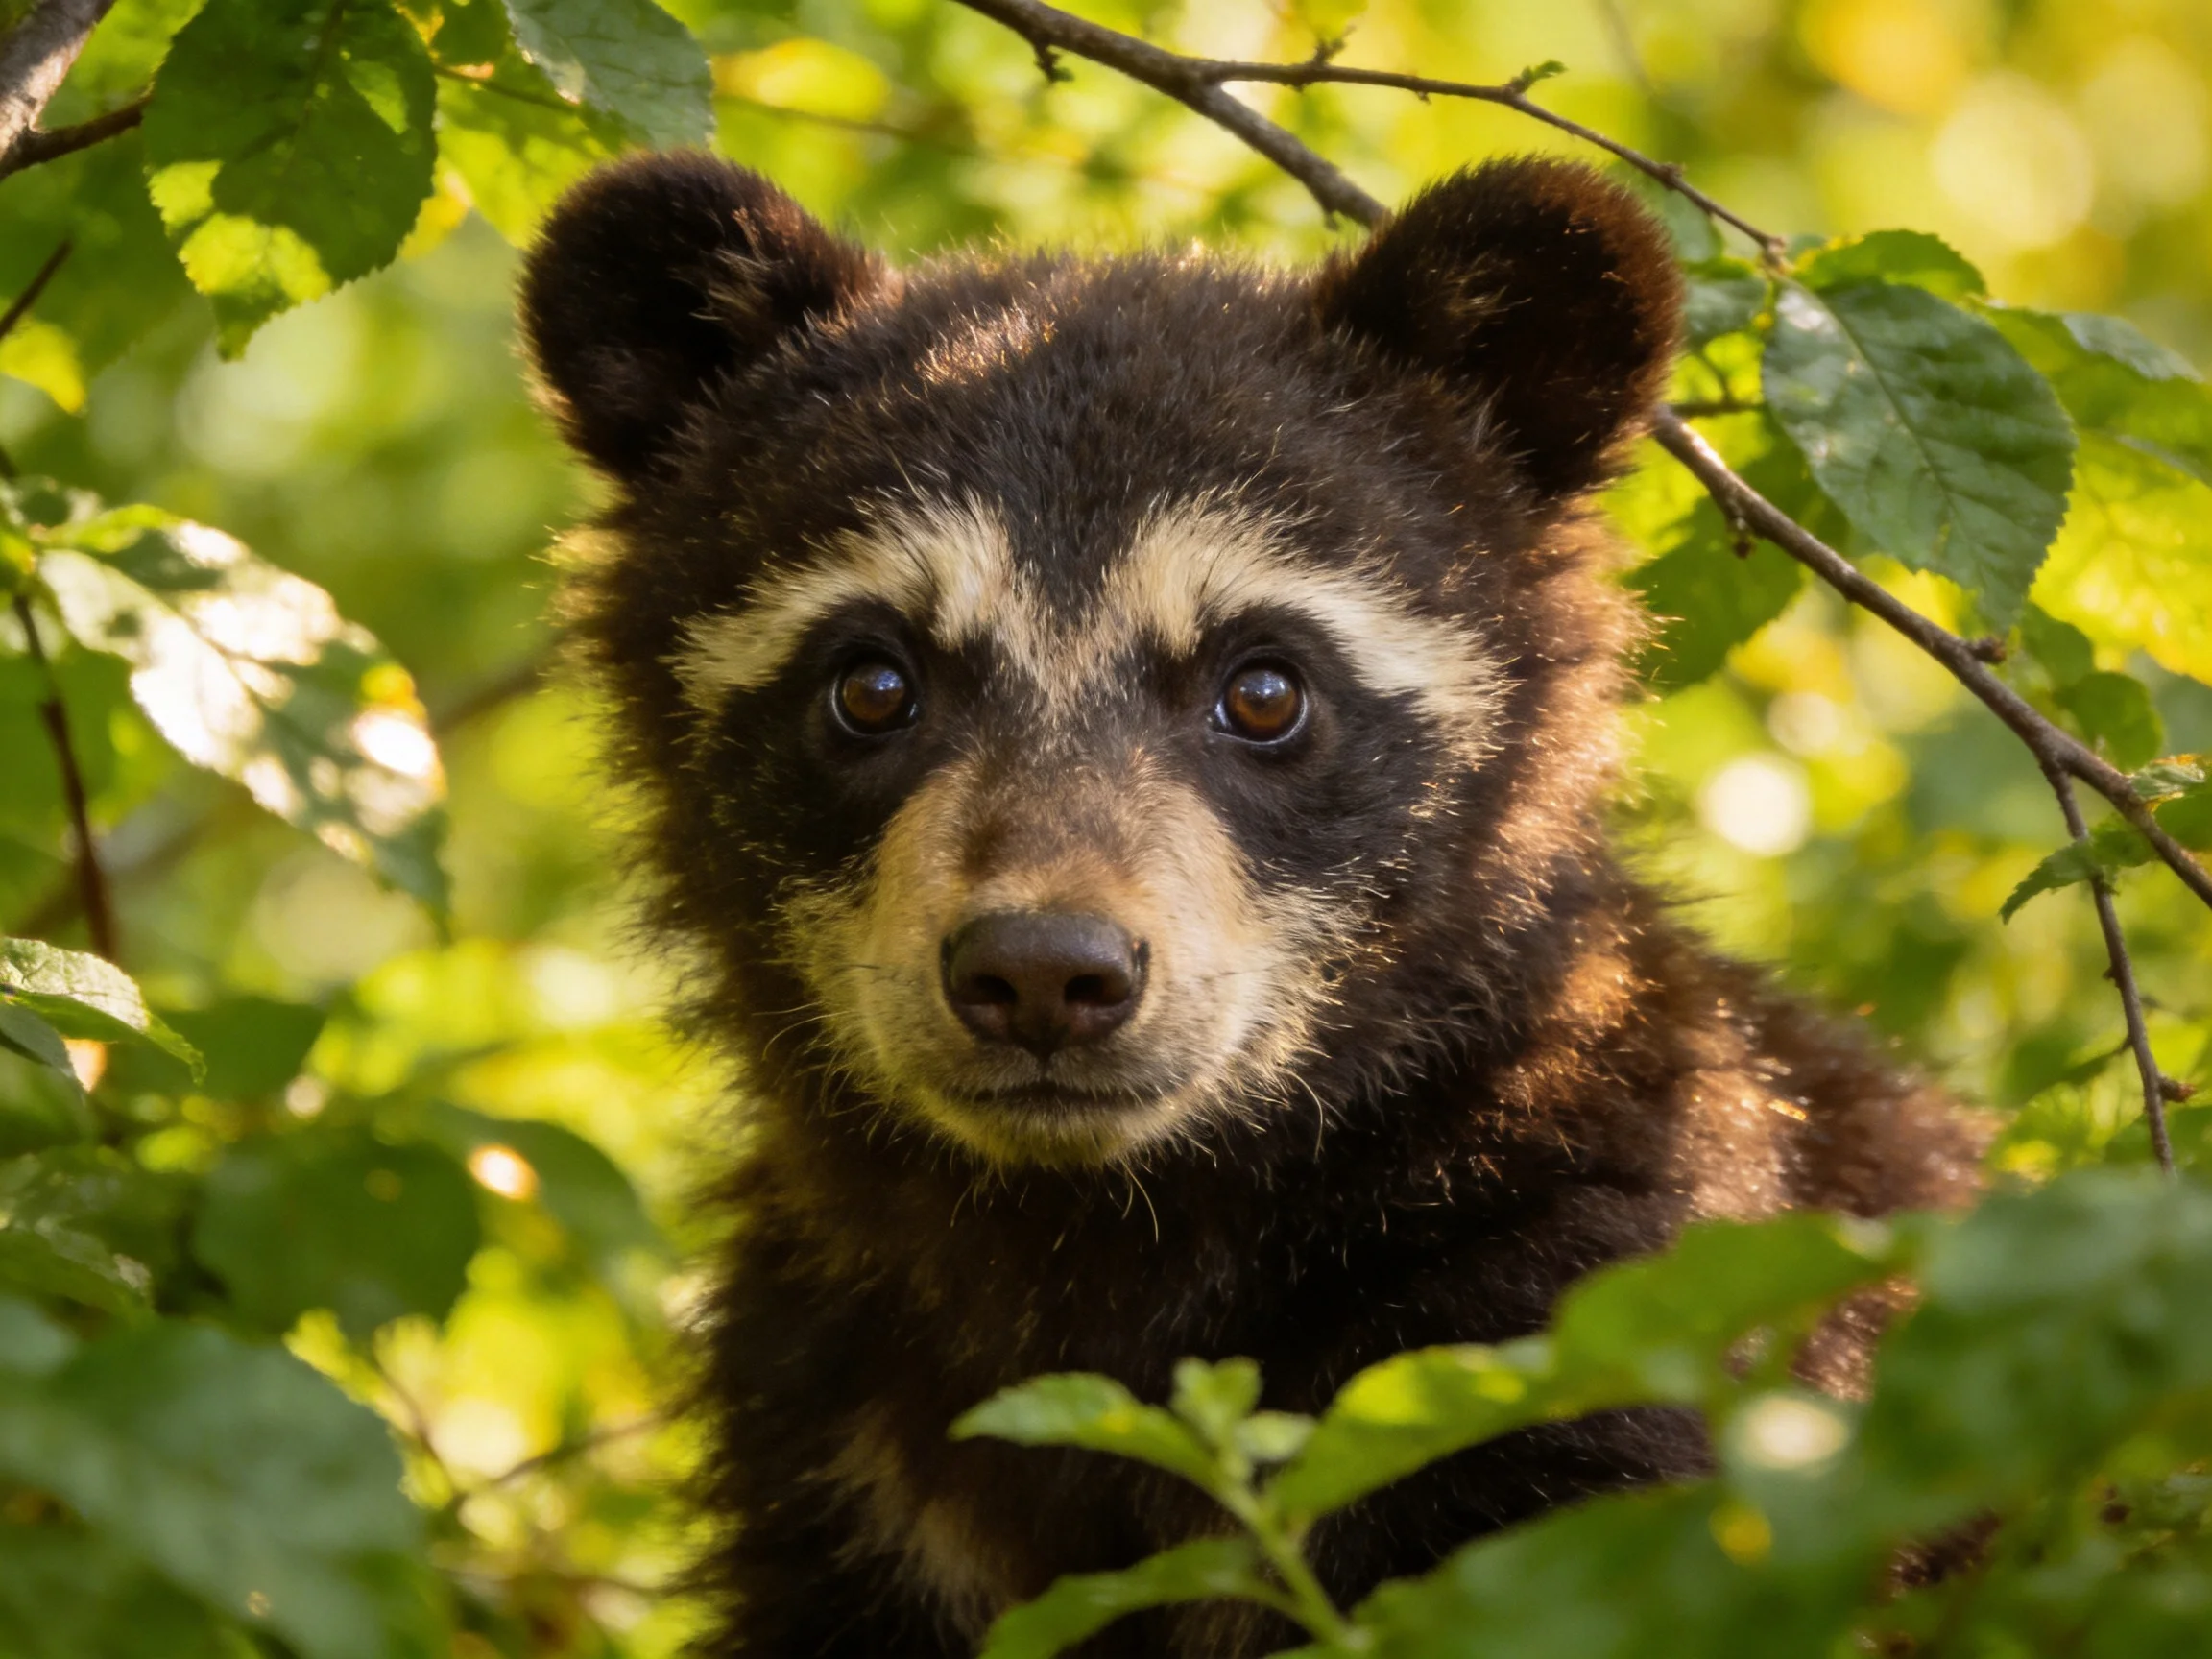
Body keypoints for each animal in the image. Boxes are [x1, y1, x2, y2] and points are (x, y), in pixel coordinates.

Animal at [517, 150, 1982, 1657]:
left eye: (1263, 685)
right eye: (872, 682)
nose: (1043, 972)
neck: (1111, 1237)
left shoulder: (1579, 1321)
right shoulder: (837, 1433)